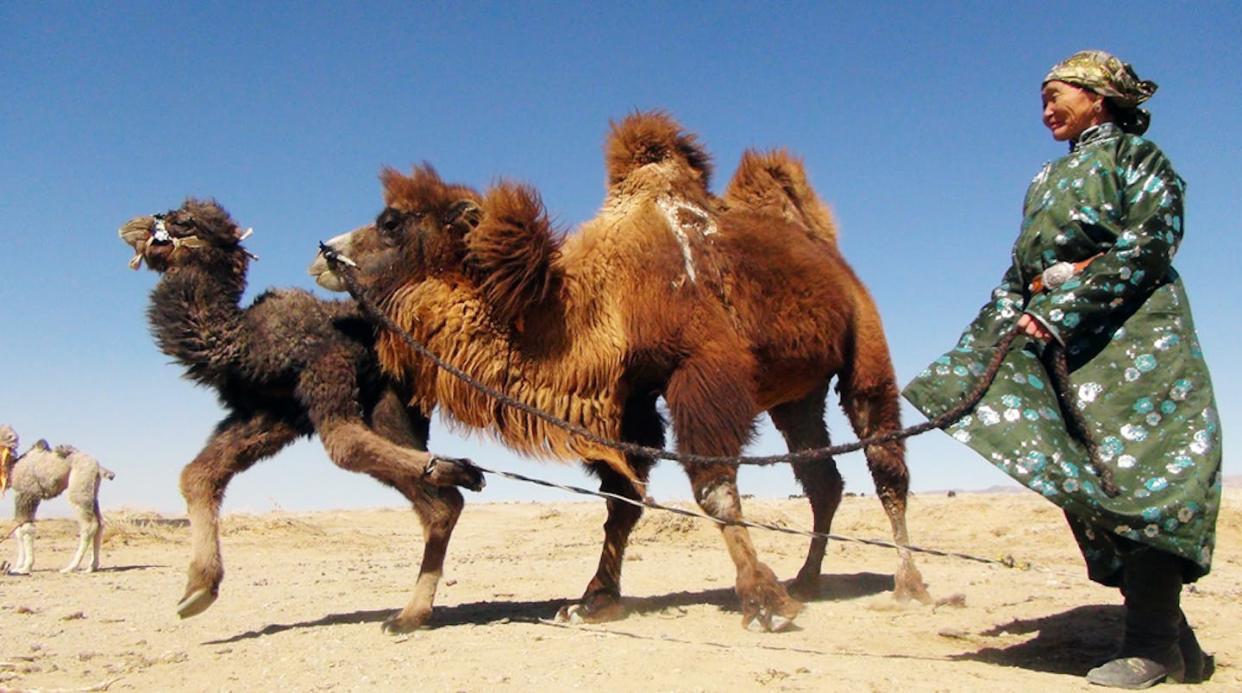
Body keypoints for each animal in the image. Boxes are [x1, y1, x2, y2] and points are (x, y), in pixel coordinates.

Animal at [1, 427, 116, 578]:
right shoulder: (21, 495)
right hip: (93, 490)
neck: (14, 466)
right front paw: (18, 566)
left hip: (79, 485)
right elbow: (19, 530)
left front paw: (26, 567)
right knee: (100, 523)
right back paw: (92, 567)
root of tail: (98, 466)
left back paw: (71, 567)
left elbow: (26, 529)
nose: (11, 439)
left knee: (89, 525)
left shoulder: (28, 493)